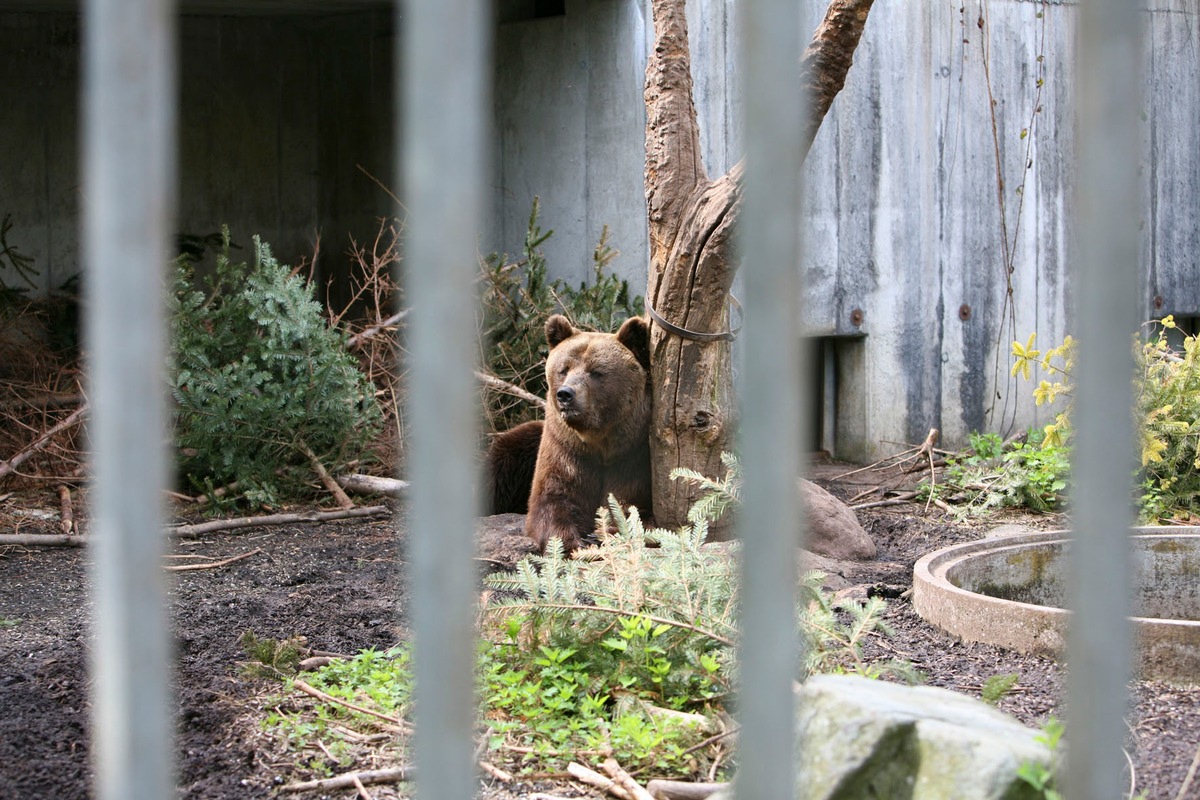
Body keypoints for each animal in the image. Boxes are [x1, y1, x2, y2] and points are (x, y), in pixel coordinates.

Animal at [482, 311, 652, 551]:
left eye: (596, 372)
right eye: (563, 369)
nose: (566, 394)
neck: (600, 442)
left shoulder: (634, 456)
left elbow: (635, 509)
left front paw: (604, 533)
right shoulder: (565, 450)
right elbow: (553, 501)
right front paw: (572, 541)